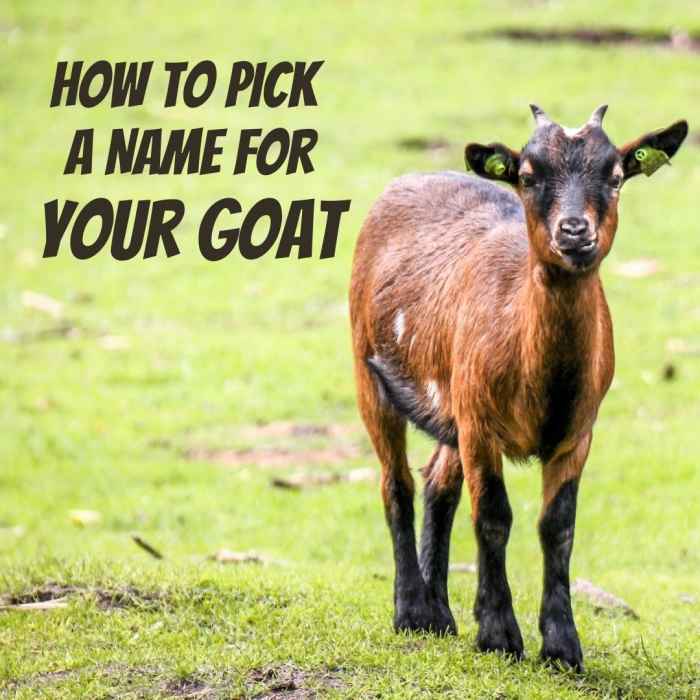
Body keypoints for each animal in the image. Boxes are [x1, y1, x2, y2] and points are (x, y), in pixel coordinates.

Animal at [349, 104, 687, 670]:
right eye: (528, 176)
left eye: (616, 176)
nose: (574, 231)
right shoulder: (480, 423)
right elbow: (493, 515)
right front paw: (499, 635)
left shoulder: (576, 432)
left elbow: (558, 525)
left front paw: (562, 646)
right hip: (369, 371)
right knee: (397, 483)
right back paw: (412, 612)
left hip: (453, 406)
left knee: (439, 484)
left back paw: (441, 616)